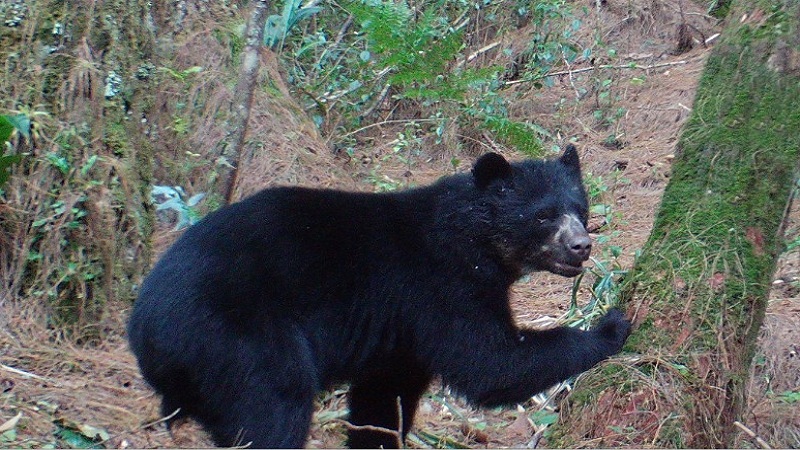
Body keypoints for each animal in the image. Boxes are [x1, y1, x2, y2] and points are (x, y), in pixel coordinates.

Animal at [128, 146, 632, 448]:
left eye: (580, 208)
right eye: (544, 216)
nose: (581, 246)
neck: (476, 241)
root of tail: (143, 327)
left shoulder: (398, 335)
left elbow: (384, 394)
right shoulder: (440, 285)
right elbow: (488, 361)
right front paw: (611, 325)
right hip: (236, 333)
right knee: (272, 403)